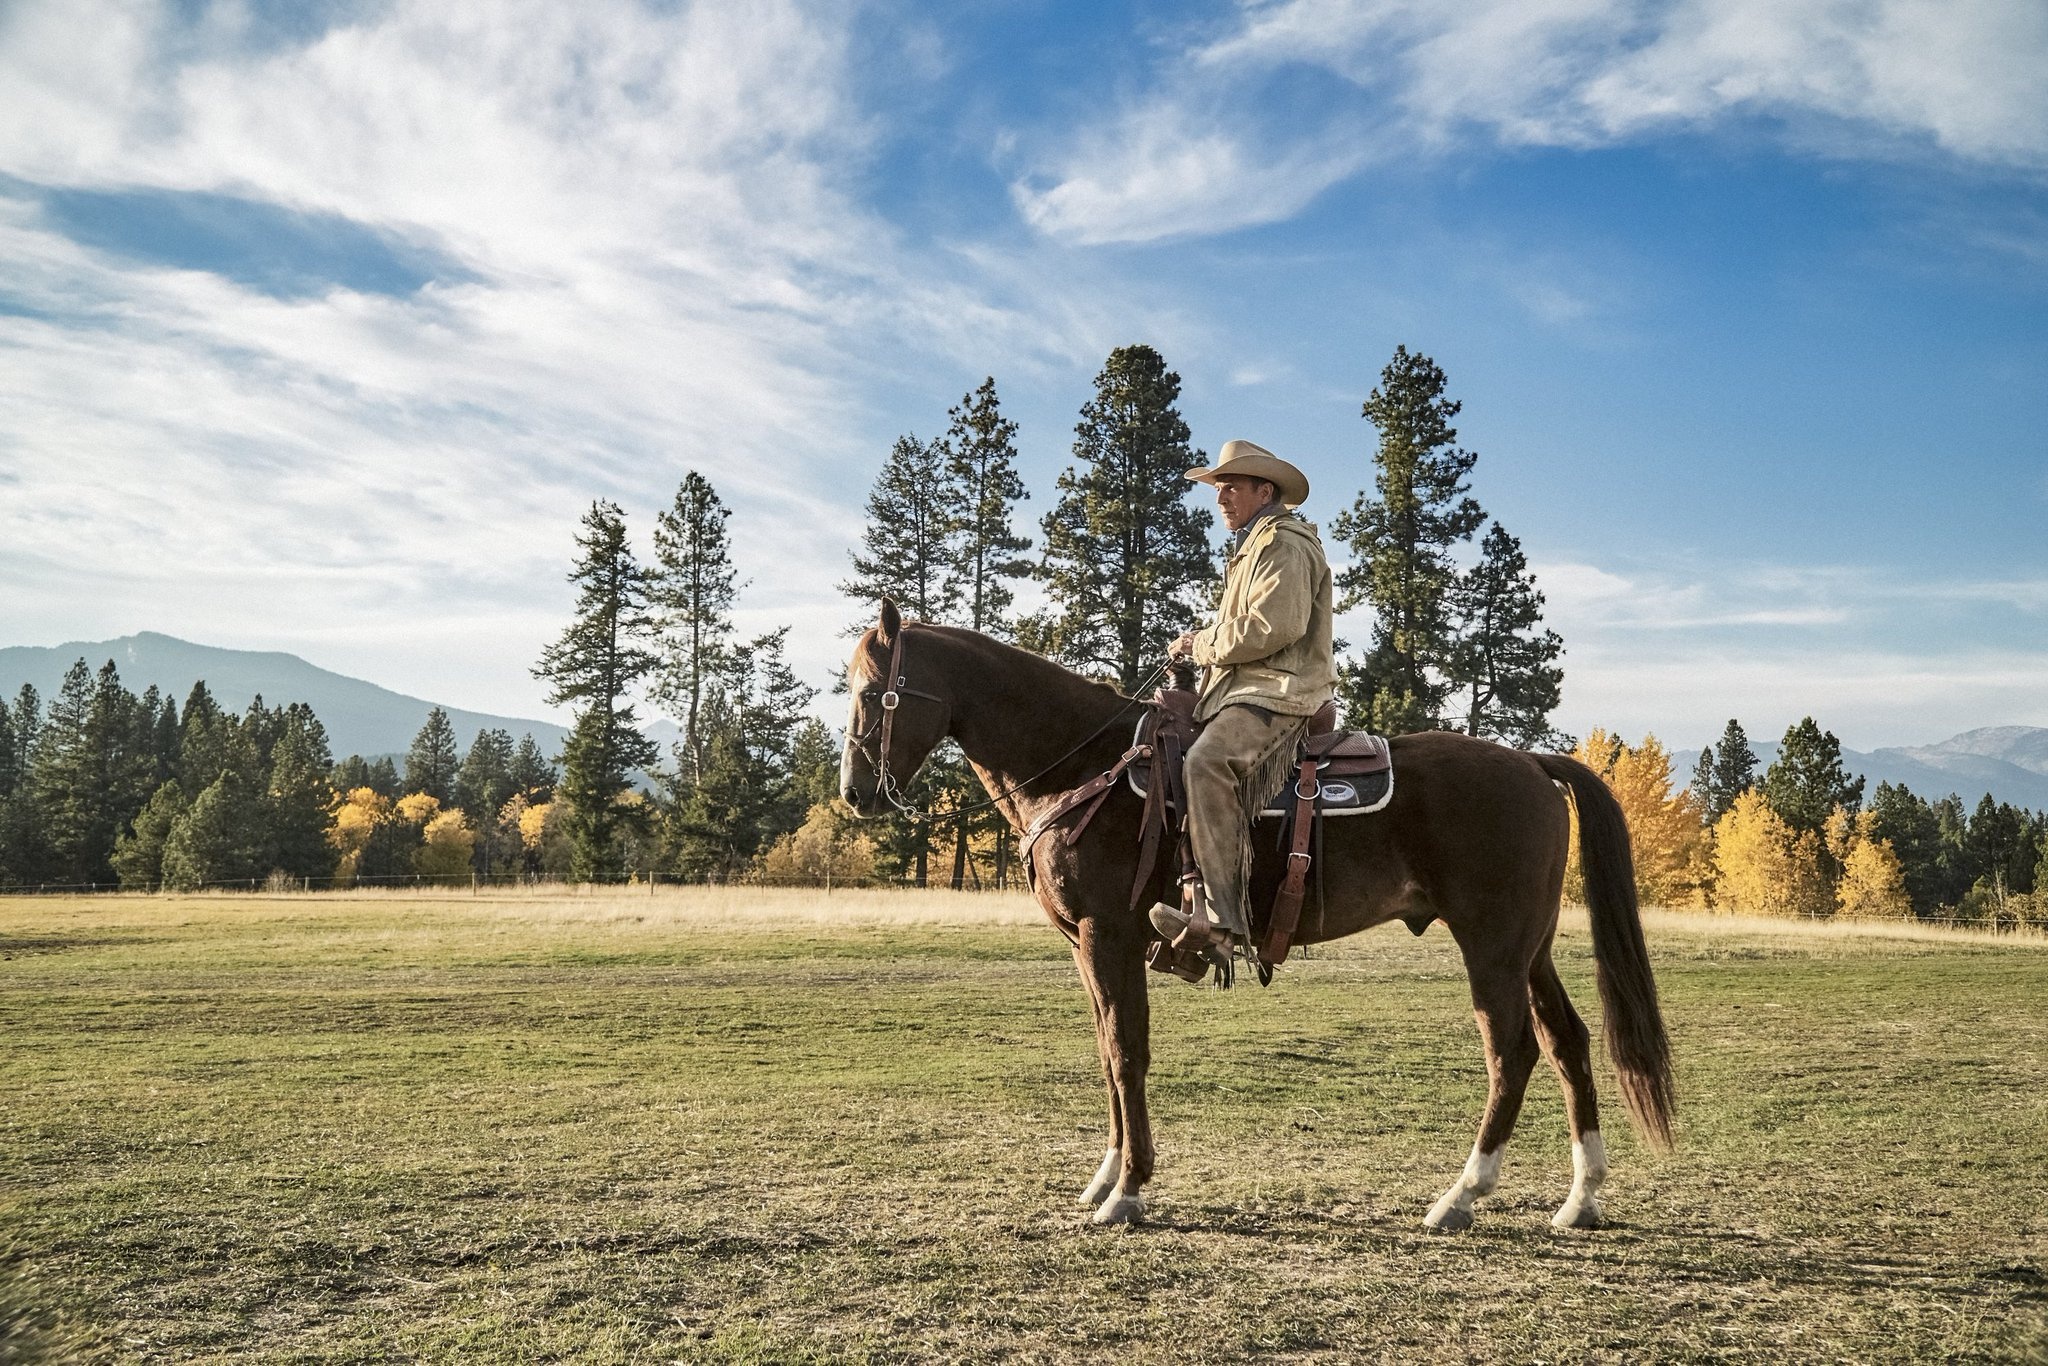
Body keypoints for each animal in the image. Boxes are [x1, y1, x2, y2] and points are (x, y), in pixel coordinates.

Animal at [839, 602, 1671, 1236]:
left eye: (875, 690)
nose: (854, 792)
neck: (1082, 766)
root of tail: (1533, 762)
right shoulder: (1086, 946)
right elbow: (1108, 1054)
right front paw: (1106, 1175)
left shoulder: (1111, 937)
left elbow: (1127, 1054)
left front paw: (1128, 1191)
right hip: (1530, 948)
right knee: (1567, 1043)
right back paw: (1580, 1198)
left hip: (1491, 946)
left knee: (1513, 1053)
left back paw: (1461, 1196)